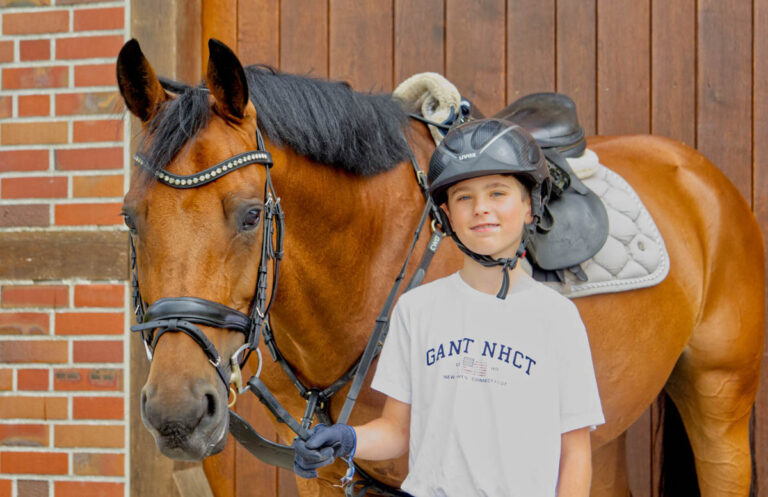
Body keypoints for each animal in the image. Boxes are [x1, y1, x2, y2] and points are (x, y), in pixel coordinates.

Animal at [118, 39, 760, 496]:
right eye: (130, 217)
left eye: (252, 215)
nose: (177, 413)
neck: (370, 271)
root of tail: (700, 175)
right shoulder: (326, 469)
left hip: (720, 399)